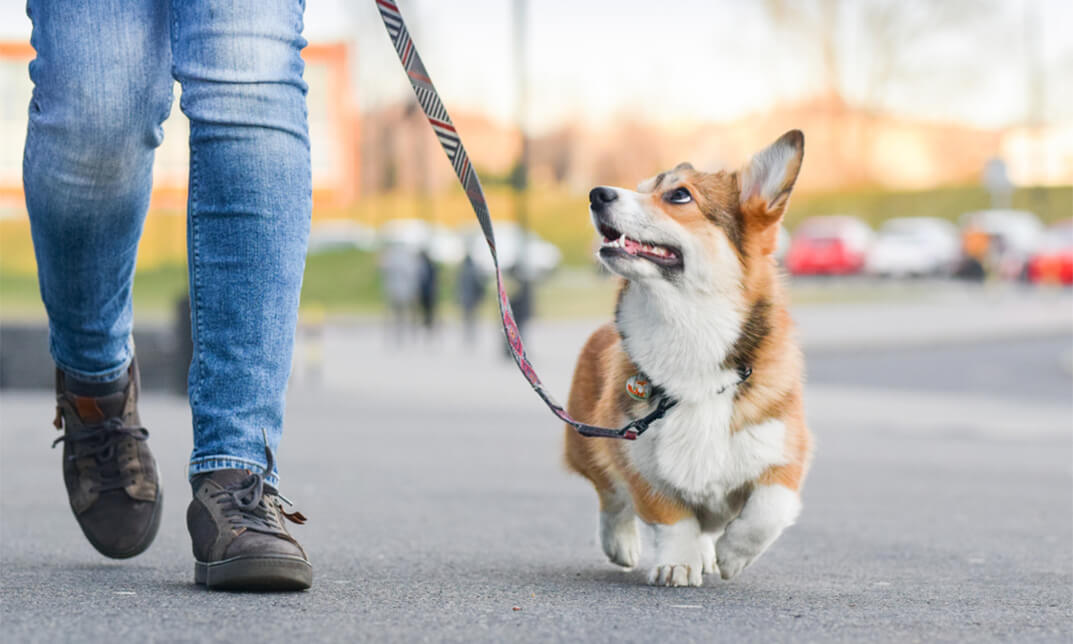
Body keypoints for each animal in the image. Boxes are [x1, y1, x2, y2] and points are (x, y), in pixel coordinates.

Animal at [566, 129, 806, 583]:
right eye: (641, 188)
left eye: (679, 195)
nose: (597, 193)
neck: (689, 328)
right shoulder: (636, 454)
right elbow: (672, 517)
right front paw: (677, 563)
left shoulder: (785, 452)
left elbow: (768, 509)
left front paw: (733, 555)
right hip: (587, 441)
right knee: (611, 496)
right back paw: (621, 544)